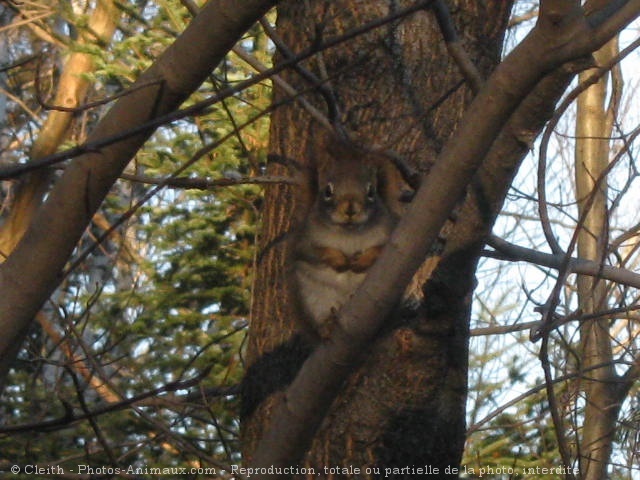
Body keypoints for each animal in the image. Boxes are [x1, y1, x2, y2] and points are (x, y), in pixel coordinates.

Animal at [292, 138, 400, 338]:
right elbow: (317, 251)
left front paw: (361, 260)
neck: (349, 232)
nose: (350, 209)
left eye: (371, 191)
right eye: (327, 191)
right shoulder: (304, 240)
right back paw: (326, 325)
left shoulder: (390, 233)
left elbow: (378, 249)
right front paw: (339, 260)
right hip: (313, 298)